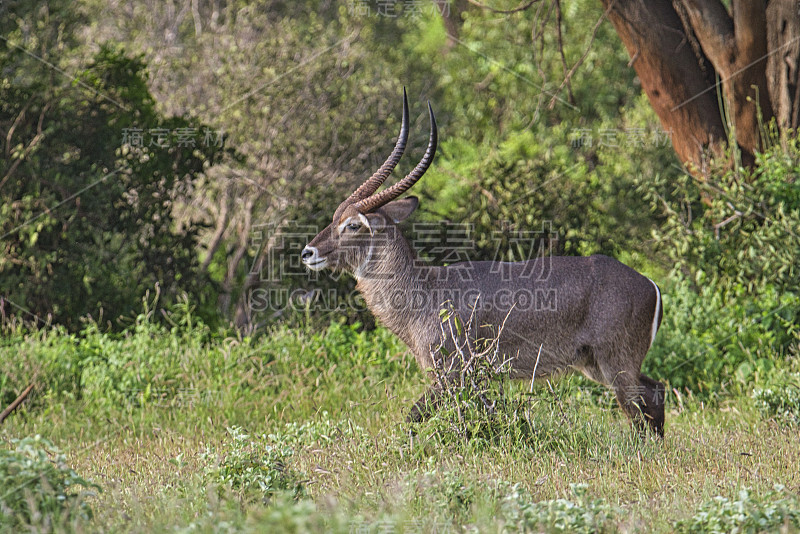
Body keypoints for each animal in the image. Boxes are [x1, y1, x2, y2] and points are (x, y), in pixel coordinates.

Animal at [304, 90, 664, 438]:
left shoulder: (453, 372)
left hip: (615, 361)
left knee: (639, 405)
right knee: (654, 390)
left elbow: (415, 418)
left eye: (352, 225)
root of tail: (650, 285)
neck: (424, 291)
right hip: (595, 364)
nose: (308, 251)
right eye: (335, 217)